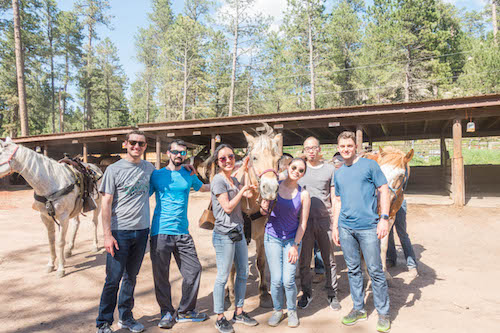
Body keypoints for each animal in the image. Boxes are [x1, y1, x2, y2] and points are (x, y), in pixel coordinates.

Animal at [0, 137, 101, 278]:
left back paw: (94, 246)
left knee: (94, 222)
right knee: (76, 223)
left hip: (98, 203)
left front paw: (61, 269)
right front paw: (51, 264)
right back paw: (69, 250)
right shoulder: (45, 217)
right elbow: (51, 241)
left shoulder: (63, 218)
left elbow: (60, 242)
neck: (50, 183)